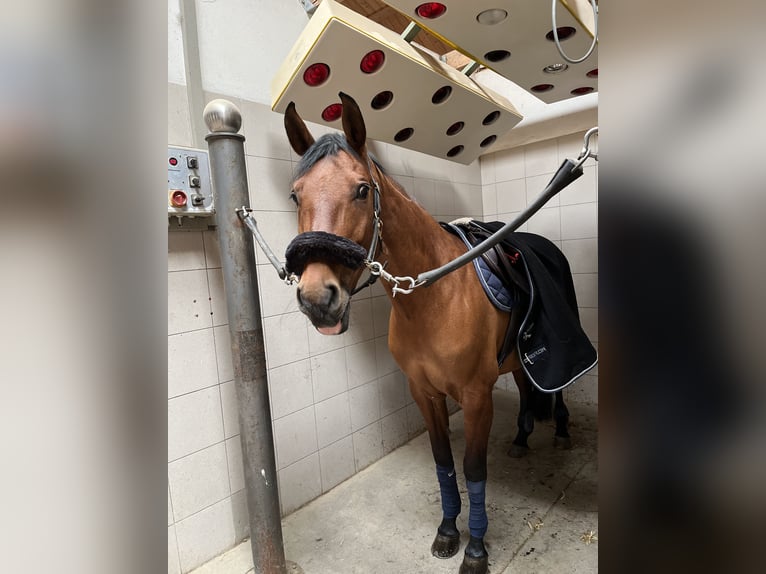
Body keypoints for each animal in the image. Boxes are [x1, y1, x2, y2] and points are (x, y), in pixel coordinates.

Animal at [282, 92, 568, 574]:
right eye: (295, 193)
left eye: (362, 190)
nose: (318, 298)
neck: (434, 301)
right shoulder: (424, 393)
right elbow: (443, 463)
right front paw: (449, 531)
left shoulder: (476, 397)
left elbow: (473, 469)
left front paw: (476, 549)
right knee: (526, 386)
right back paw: (521, 438)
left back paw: (562, 429)